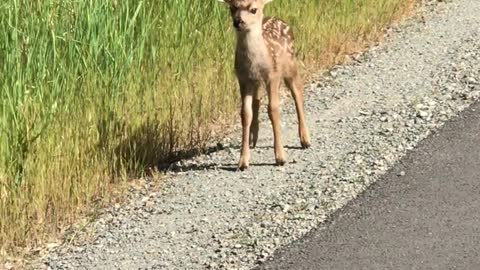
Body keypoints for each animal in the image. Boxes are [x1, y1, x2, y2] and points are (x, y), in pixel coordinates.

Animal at [218, 0, 312, 170]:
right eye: (232, 8)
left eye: (253, 9)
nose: (238, 21)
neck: (254, 62)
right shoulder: (244, 80)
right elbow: (245, 113)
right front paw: (243, 161)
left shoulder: (272, 76)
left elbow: (273, 109)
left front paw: (280, 157)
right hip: (258, 83)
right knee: (257, 101)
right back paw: (253, 139)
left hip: (290, 65)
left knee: (298, 92)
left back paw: (305, 139)